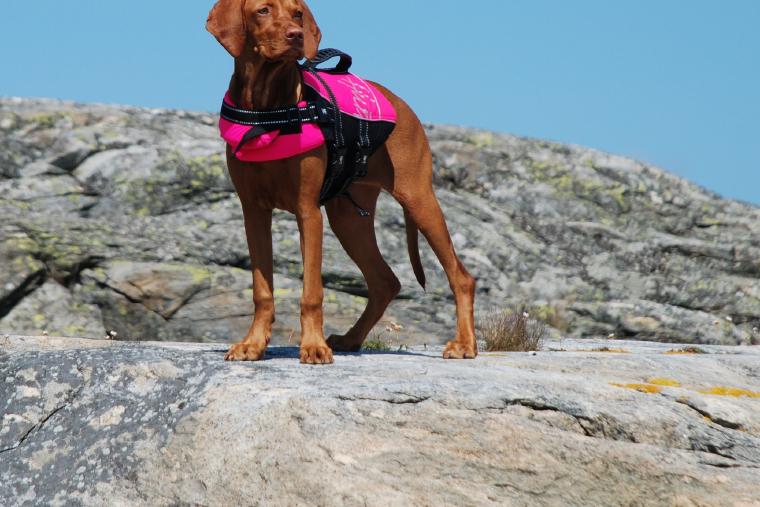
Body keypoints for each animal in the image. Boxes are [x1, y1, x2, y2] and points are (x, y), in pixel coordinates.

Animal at [206, 0, 476, 366]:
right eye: (263, 10)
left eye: (298, 14)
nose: (296, 36)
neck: (267, 111)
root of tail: (399, 101)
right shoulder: (253, 212)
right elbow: (262, 290)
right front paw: (253, 344)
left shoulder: (308, 211)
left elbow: (311, 292)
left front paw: (314, 346)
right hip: (348, 219)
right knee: (385, 282)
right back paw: (351, 338)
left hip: (418, 199)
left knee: (461, 277)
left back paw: (464, 344)